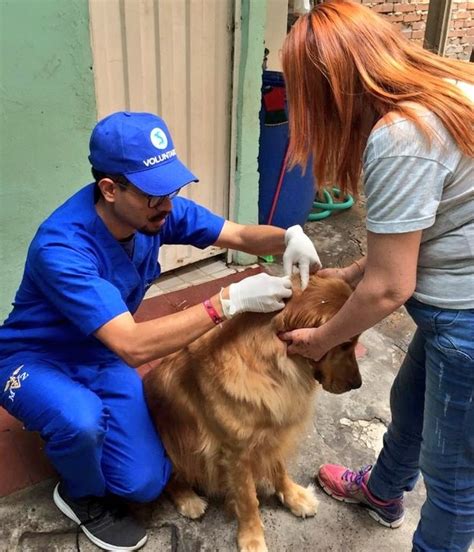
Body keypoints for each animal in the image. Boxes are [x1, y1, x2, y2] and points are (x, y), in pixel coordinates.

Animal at [143, 276, 362, 552]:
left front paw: (293, 496)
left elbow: (279, 469)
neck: (271, 367)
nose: (358, 384)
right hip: (171, 443)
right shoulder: (235, 452)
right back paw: (188, 499)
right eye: (344, 344)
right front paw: (252, 537)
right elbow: (248, 499)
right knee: (168, 479)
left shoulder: (273, 432)